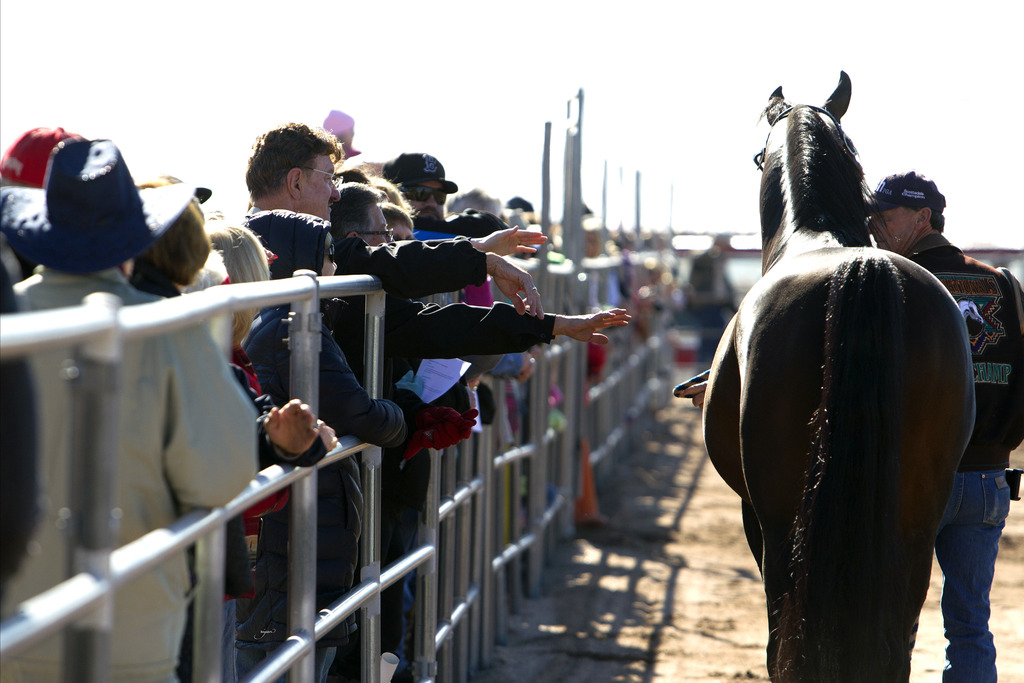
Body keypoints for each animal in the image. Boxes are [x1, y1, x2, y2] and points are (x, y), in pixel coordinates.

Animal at [693, 72, 975, 681]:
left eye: (758, 156)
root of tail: (860, 269)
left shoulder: (755, 514)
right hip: (916, 519)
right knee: (895, 639)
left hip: (781, 519)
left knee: (785, 635)